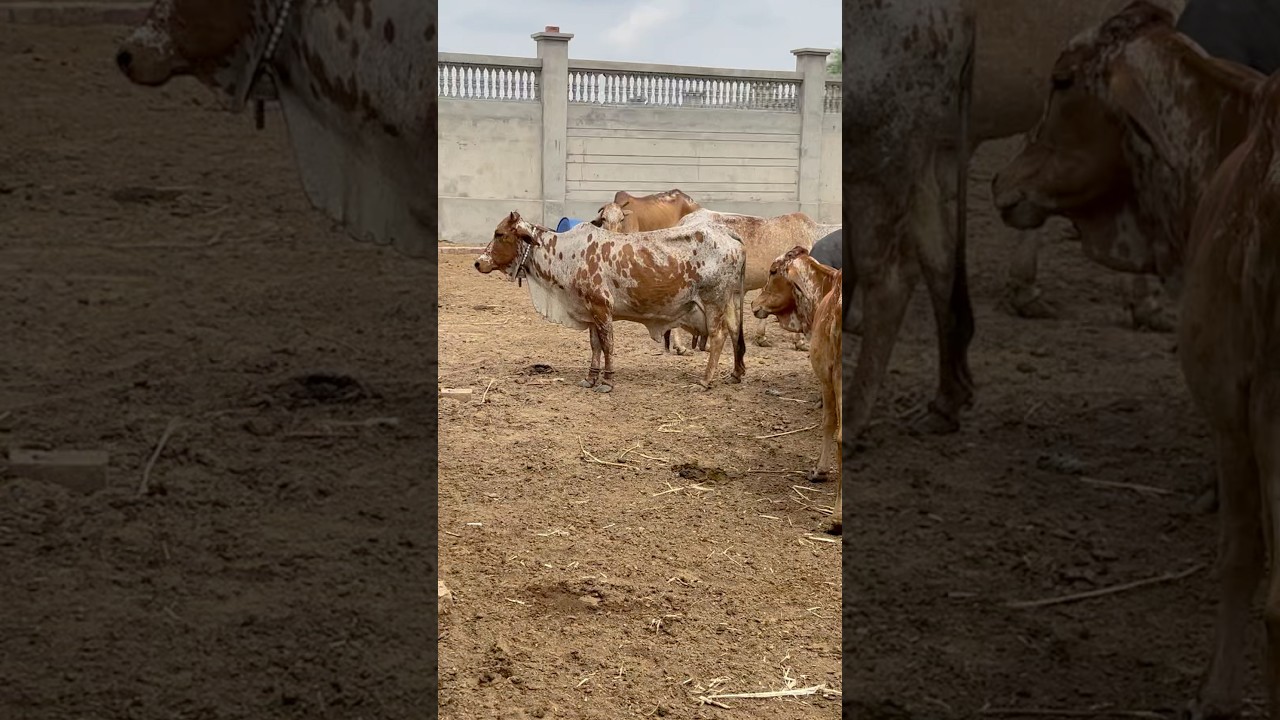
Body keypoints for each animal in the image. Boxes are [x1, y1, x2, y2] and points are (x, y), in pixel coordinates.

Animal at [474, 211, 747, 392]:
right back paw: (735, 374)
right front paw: (591, 378)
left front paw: (607, 381)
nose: (478, 262)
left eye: (499, 233)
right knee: (735, 331)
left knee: (719, 336)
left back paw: (705, 380)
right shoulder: (590, 311)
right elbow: (595, 345)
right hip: (730, 301)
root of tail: (729, 234)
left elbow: (607, 345)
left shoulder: (602, 308)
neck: (564, 253)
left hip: (713, 301)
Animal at [750, 247, 843, 535]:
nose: (753, 305)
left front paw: (820, 471)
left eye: (773, 271)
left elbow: (828, 424)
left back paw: (837, 518)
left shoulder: (826, 377)